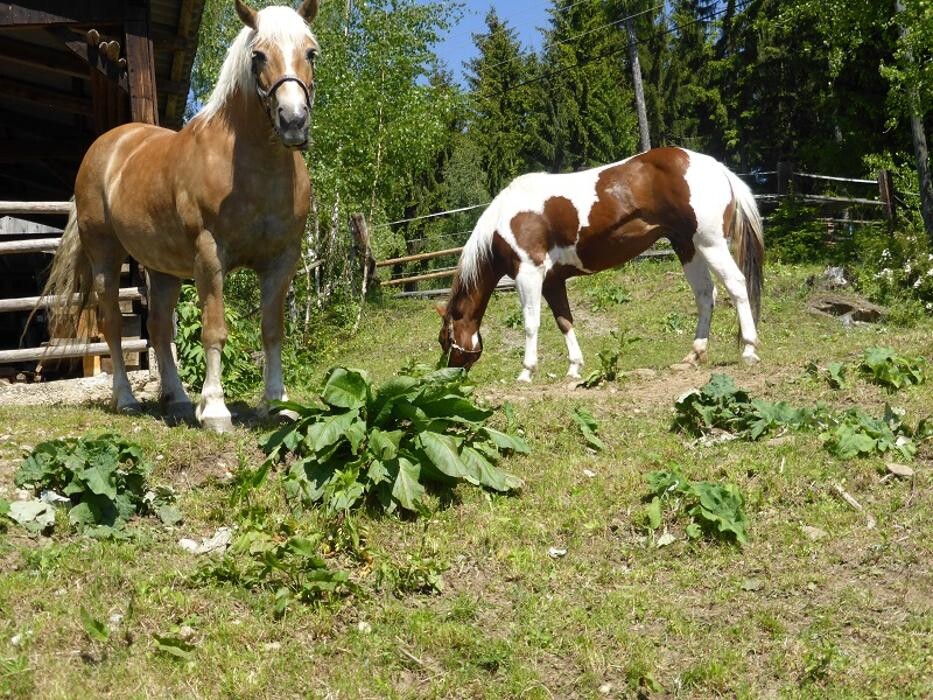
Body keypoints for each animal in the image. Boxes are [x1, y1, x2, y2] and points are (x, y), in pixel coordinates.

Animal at [38, 0, 320, 430]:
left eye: (311, 52)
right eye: (257, 55)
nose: (293, 120)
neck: (253, 168)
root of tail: (106, 146)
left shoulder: (282, 259)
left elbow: (272, 330)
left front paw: (277, 404)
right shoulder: (210, 256)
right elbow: (214, 331)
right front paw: (216, 410)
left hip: (163, 269)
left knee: (157, 329)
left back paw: (179, 399)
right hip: (105, 257)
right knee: (114, 325)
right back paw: (127, 399)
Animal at [436, 144, 764, 380]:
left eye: (445, 339)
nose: (449, 374)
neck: (502, 221)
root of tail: (717, 167)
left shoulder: (528, 274)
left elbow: (531, 323)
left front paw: (527, 372)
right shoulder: (553, 281)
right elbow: (564, 322)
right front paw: (574, 368)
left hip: (711, 244)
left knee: (736, 285)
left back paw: (749, 349)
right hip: (688, 247)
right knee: (705, 295)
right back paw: (694, 354)